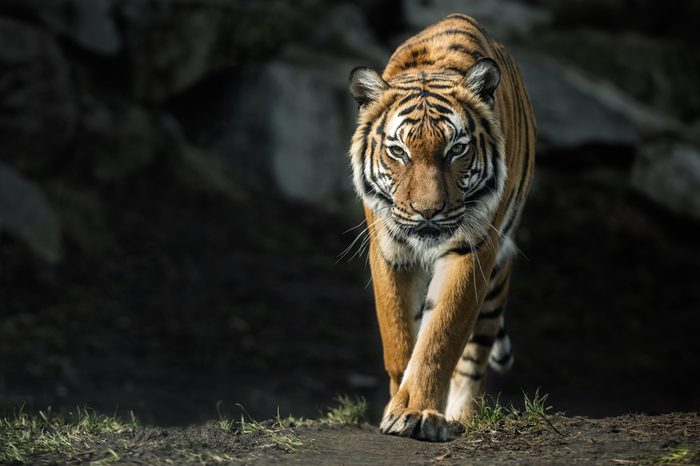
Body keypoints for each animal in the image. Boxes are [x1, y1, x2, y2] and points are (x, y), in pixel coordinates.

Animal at [346, 12, 536, 442]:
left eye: (457, 149)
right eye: (398, 151)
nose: (428, 211)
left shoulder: (473, 249)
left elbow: (439, 338)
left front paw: (417, 412)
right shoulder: (390, 251)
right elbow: (400, 338)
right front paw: (398, 406)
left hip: (495, 280)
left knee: (473, 357)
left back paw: (459, 419)